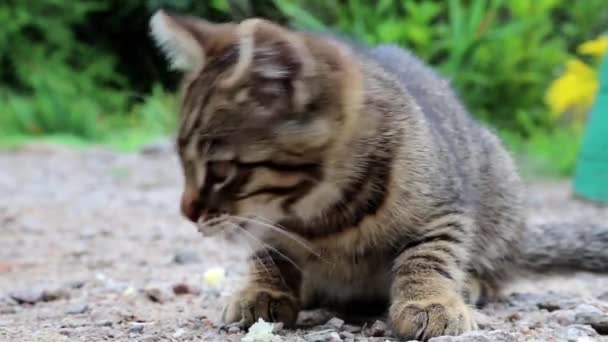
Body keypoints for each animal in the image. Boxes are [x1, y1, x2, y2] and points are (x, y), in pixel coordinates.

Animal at [150, 10, 608, 340]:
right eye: (183, 164)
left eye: (221, 171)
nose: (187, 213)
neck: (320, 217)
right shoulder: (266, 224)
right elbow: (268, 252)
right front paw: (262, 289)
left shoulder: (446, 208)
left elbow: (430, 254)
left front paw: (430, 300)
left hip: (500, 183)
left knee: (497, 268)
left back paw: (472, 283)